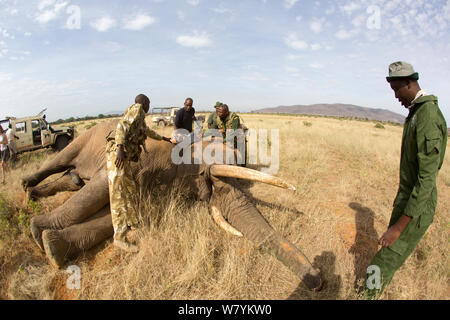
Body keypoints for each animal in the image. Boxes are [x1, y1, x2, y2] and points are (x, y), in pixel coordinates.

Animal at [22, 119, 324, 290]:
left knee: (71, 180)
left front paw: (52, 247)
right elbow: (102, 191)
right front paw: (39, 235)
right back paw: (27, 187)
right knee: (59, 161)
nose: (318, 280)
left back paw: (40, 194)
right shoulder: (135, 158)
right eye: (210, 179)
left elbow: (123, 214)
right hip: (82, 139)